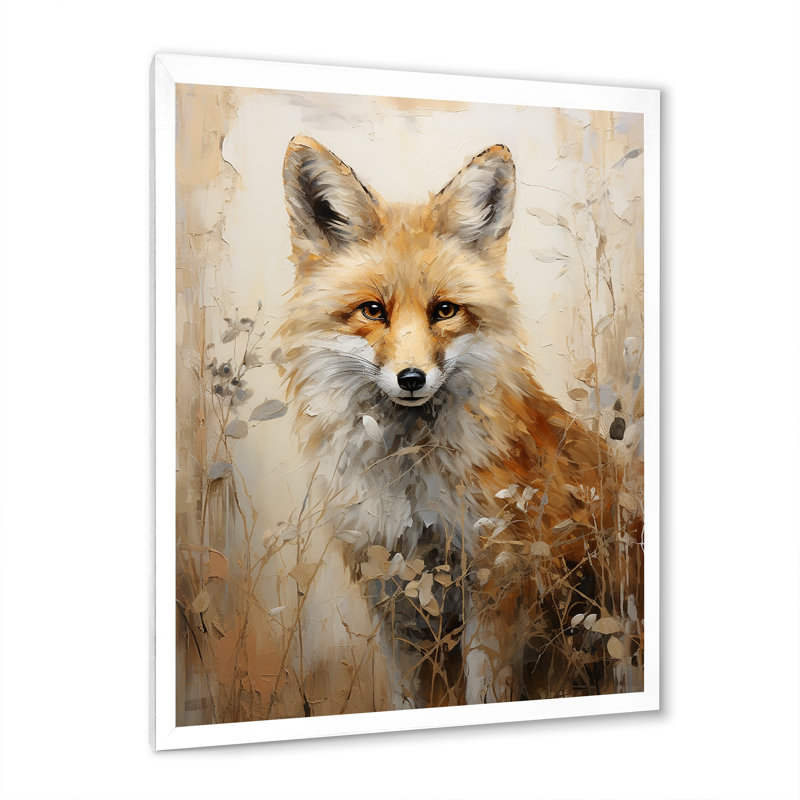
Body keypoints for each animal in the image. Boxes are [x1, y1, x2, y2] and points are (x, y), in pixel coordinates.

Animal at [278, 135, 636, 709]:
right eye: (372, 311)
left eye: (444, 311)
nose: (411, 378)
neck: (410, 484)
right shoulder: (392, 594)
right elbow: (404, 699)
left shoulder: (496, 585)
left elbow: (485, 692)